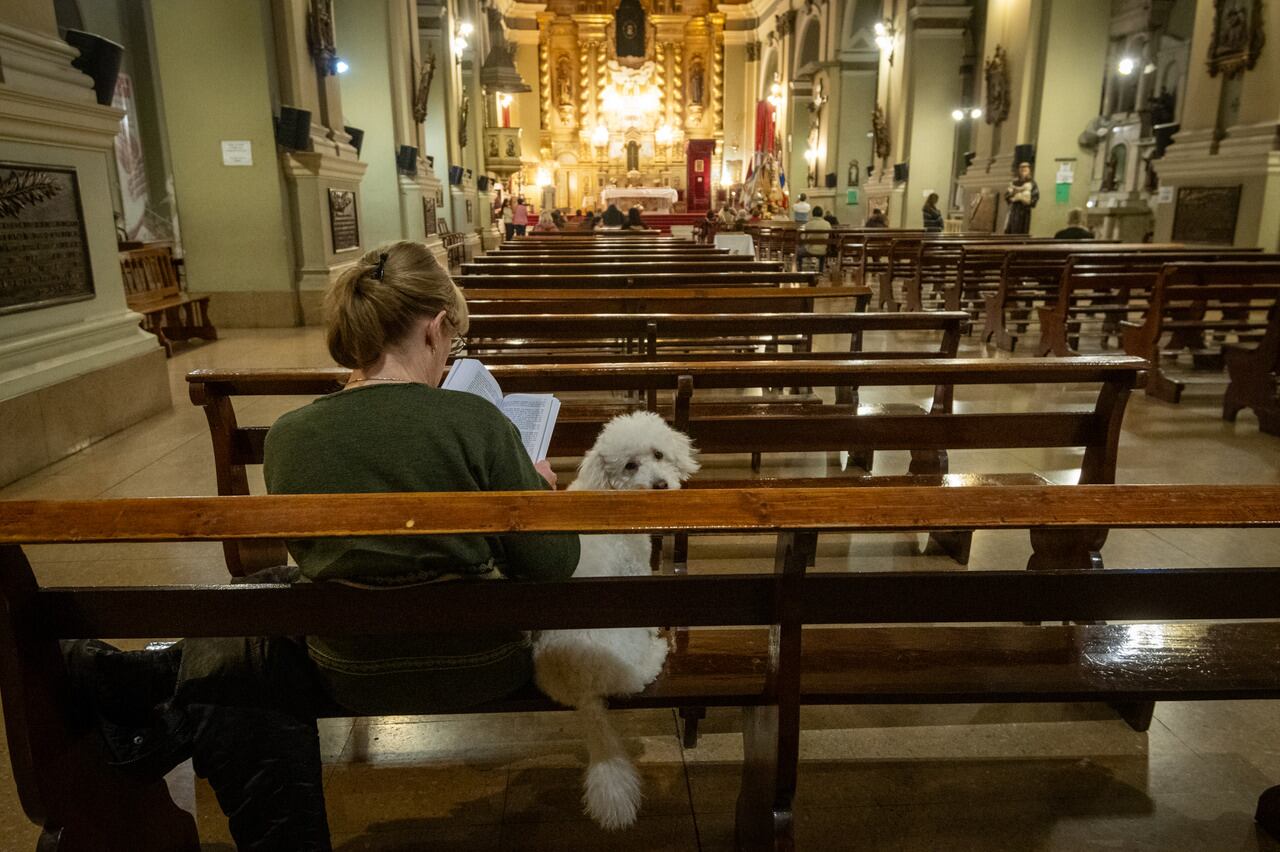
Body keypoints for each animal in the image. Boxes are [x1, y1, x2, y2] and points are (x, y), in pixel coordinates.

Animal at [529, 409, 701, 823]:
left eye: (659, 454)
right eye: (629, 466)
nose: (660, 485)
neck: (609, 498)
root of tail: (583, 690)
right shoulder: (635, 569)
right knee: (639, 675)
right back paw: (658, 652)